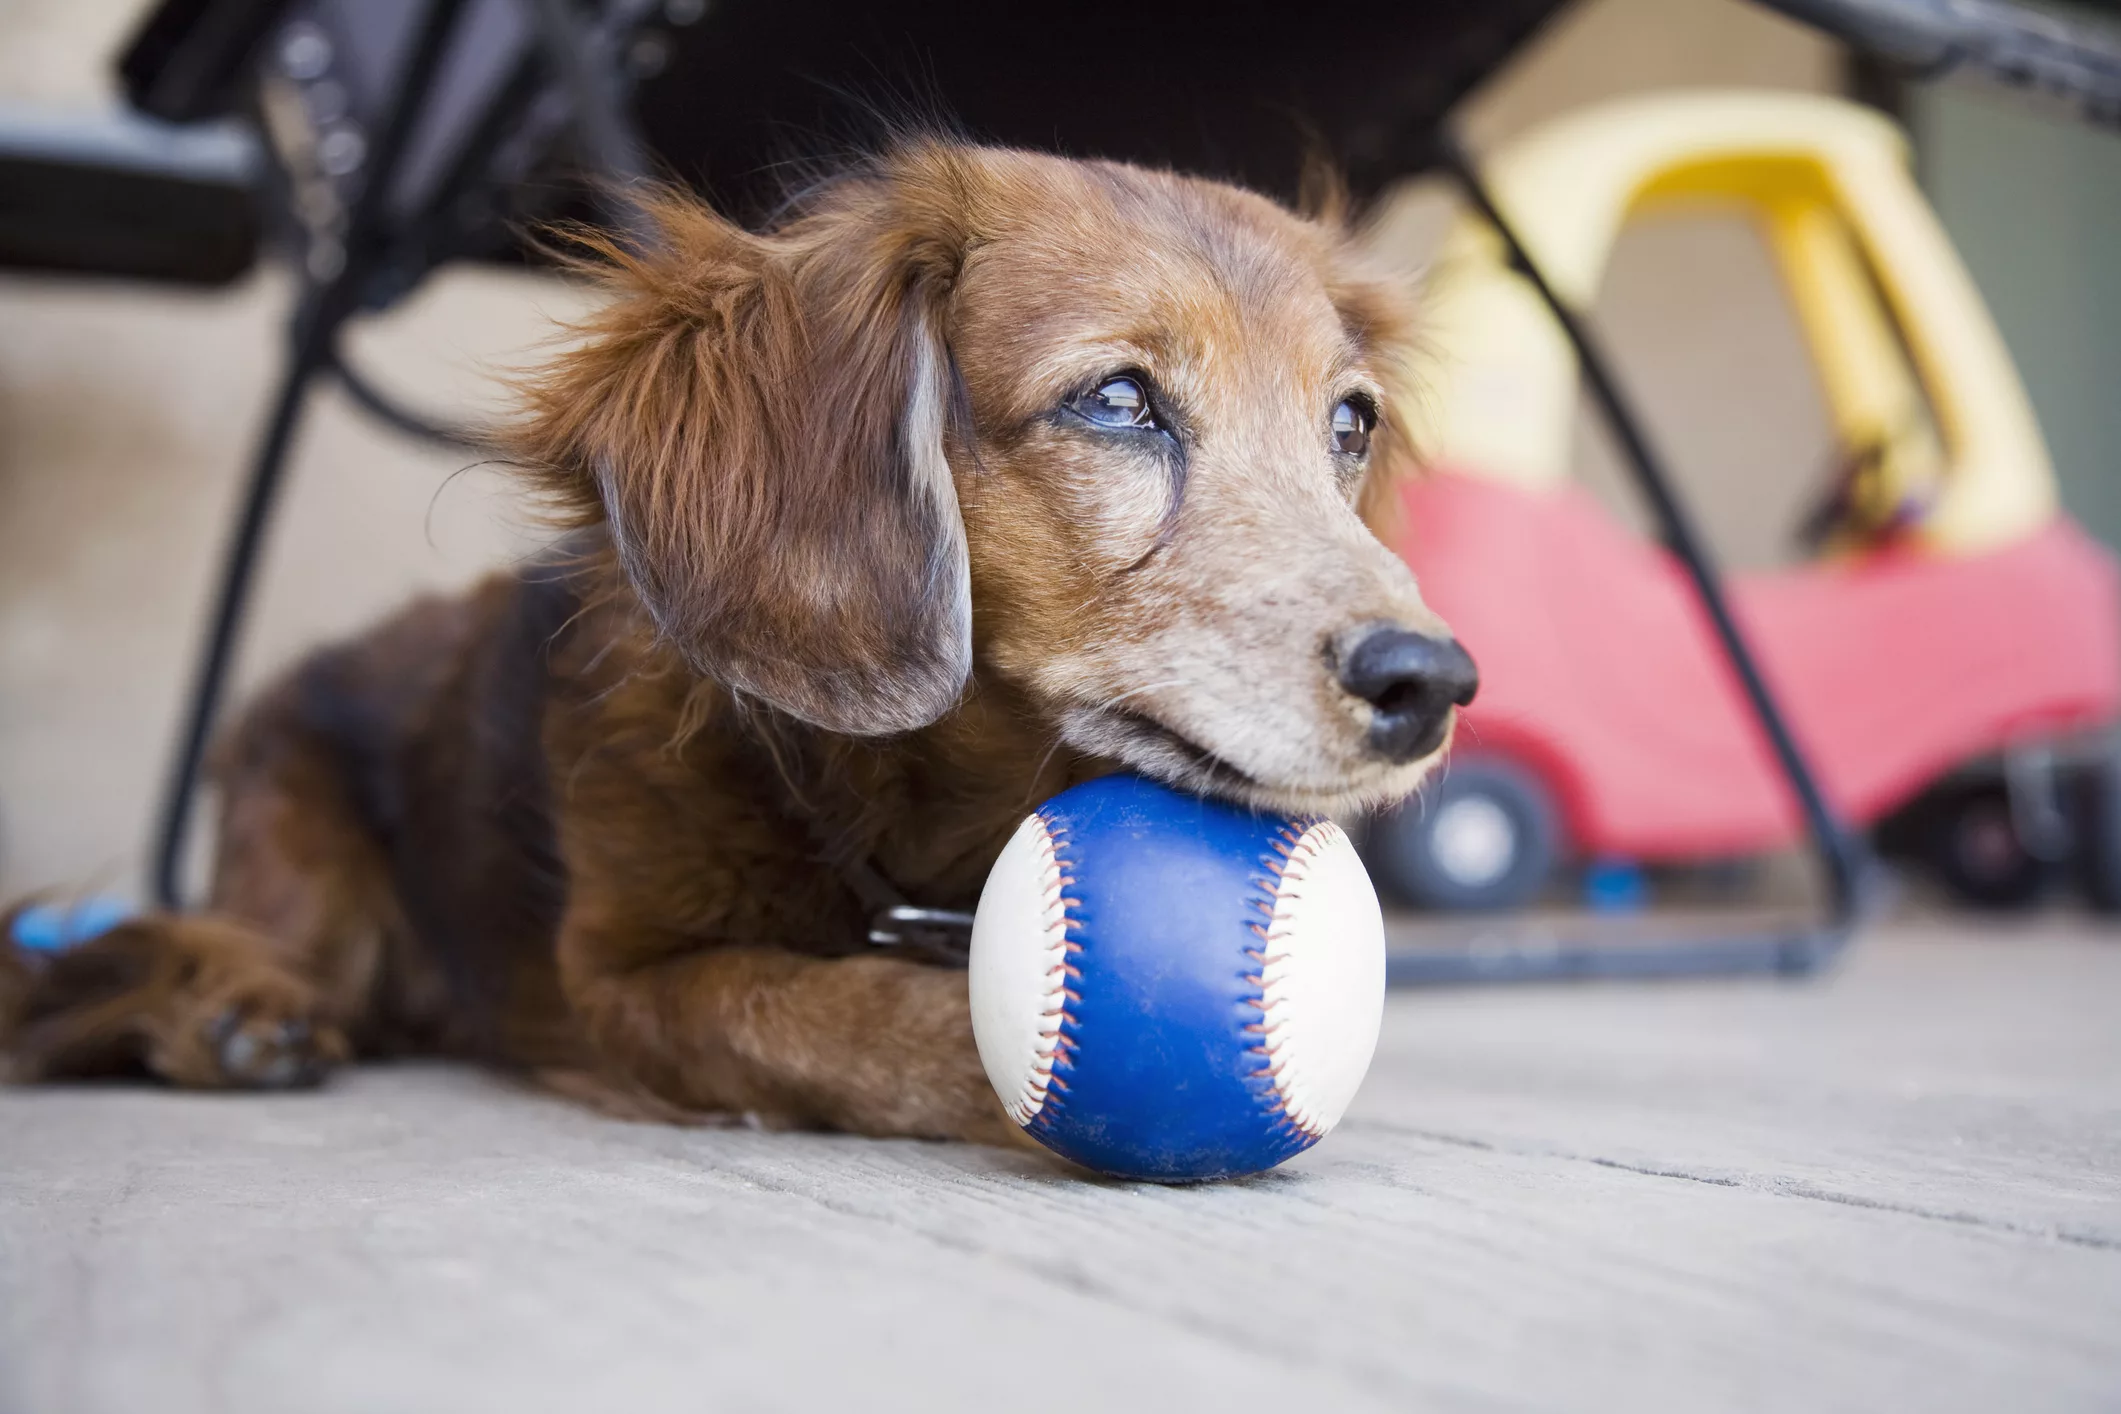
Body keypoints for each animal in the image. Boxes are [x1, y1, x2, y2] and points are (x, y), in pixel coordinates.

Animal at [0, 137, 1476, 1144]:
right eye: (1118, 400)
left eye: (1348, 423)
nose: (1434, 683)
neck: (911, 816)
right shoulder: (626, 979)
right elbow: (826, 1009)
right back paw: (233, 1008)